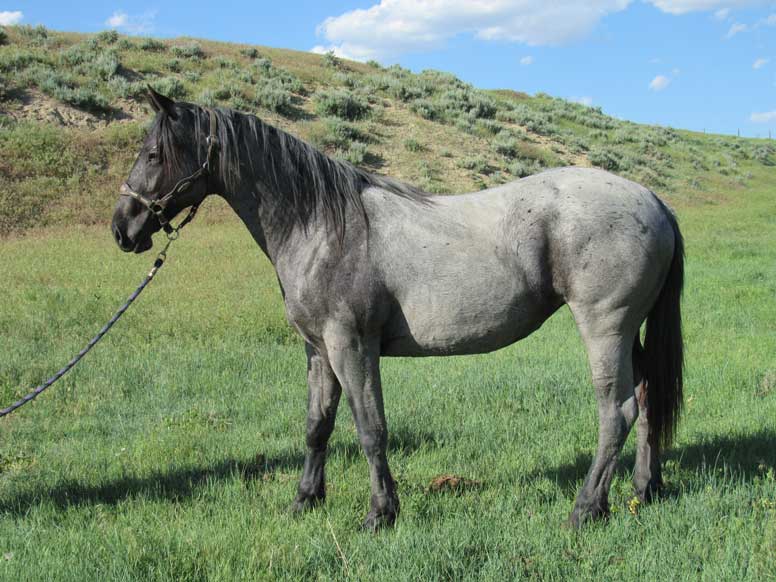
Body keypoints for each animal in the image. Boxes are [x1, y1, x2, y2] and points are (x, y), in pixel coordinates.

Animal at [112, 89, 684, 532]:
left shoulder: (352, 347)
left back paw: (586, 508)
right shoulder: (318, 351)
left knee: (617, 412)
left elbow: (371, 429)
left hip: (604, 328)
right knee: (646, 396)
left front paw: (380, 514)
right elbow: (317, 426)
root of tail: (653, 199)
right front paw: (305, 500)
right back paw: (644, 488)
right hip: (628, 332)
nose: (123, 228)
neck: (322, 225)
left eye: (154, 153)